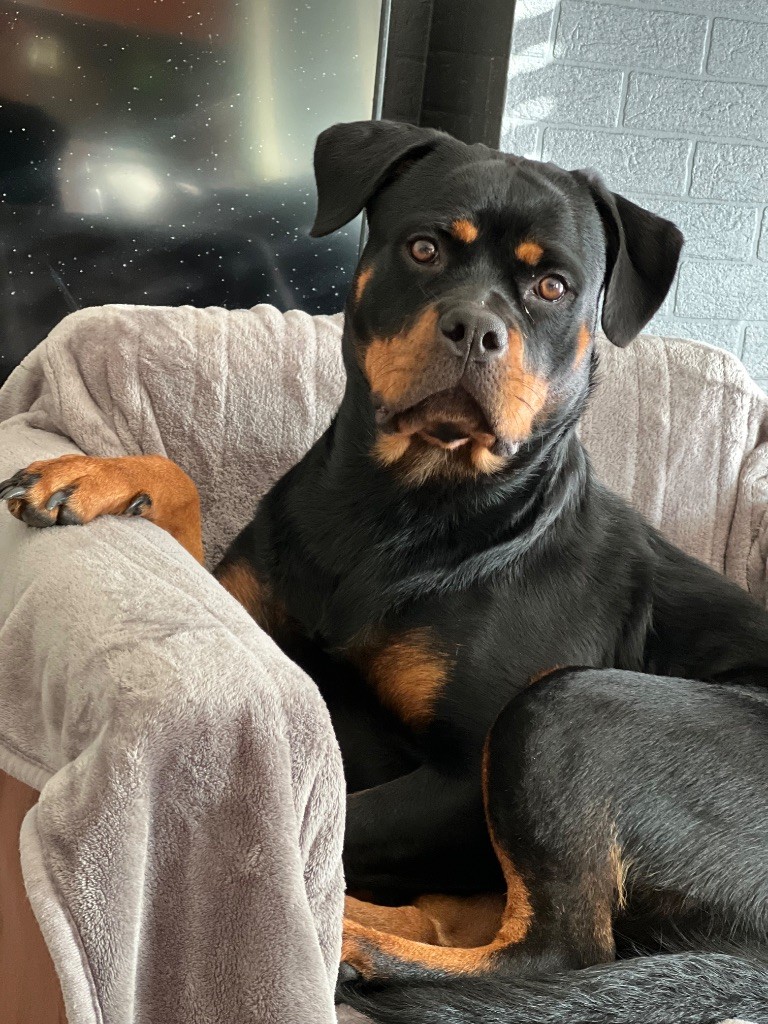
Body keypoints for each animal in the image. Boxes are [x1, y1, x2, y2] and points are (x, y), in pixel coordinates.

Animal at [2, 120, 767, 1023]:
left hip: (570, 707)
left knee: (557, 947)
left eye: (552, 286)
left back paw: (355, 945)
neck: (405, 505)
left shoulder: (462, 780)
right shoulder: (268, 615)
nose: (475, 329)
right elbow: (185, 495)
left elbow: (342, 828)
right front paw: (100, 474)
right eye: (426, 248)